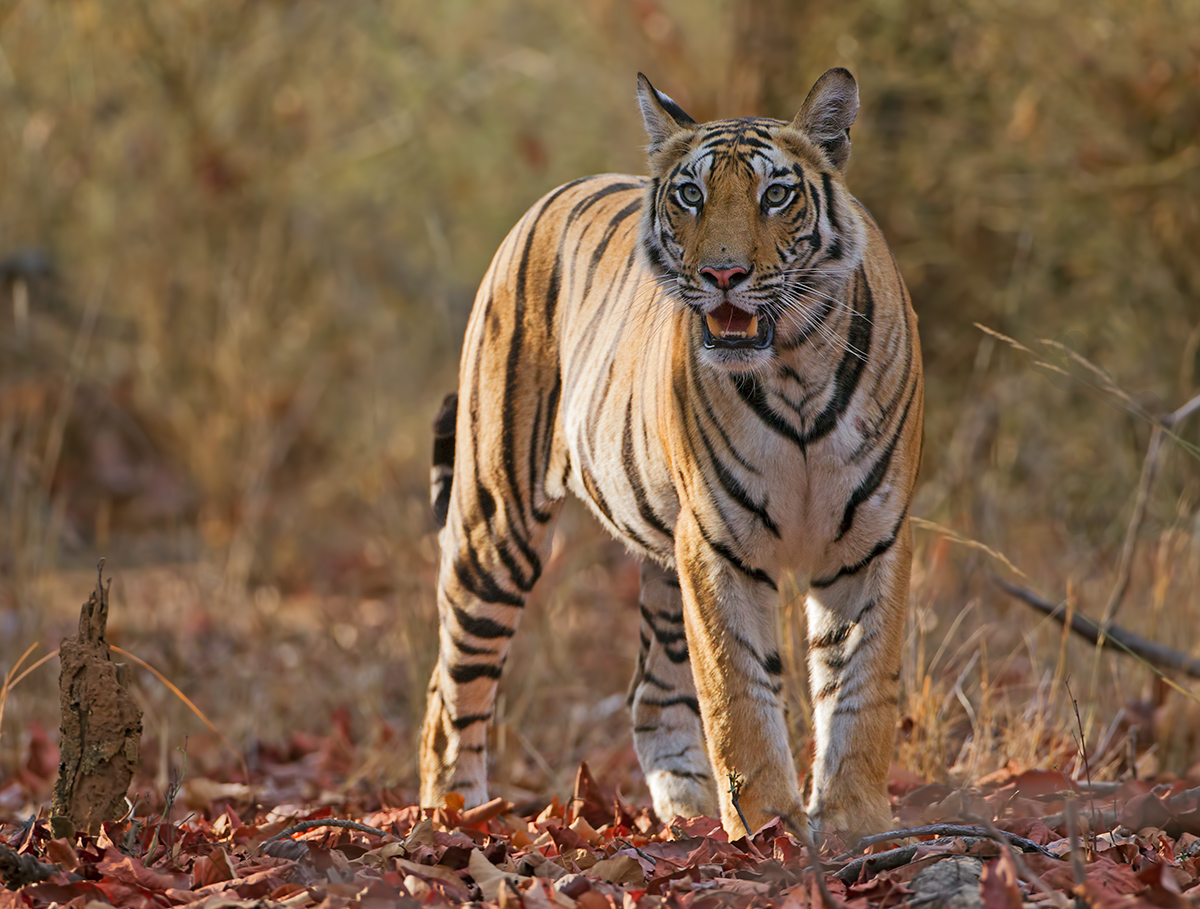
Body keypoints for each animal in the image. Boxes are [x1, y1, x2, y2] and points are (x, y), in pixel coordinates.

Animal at [420, 67, 924, 843]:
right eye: (690, 195)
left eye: (775, 195)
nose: (723, 274)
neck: (796, 369)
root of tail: (546, 201)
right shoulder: (719, 545)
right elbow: (738, 697)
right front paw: (770, 829)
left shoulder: (871, 537)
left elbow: (860, 689)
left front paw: (853, 826)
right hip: (495, 523)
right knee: (449, 695)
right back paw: (453, 819)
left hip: (660, 561)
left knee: (651, 695)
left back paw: (685, 817)